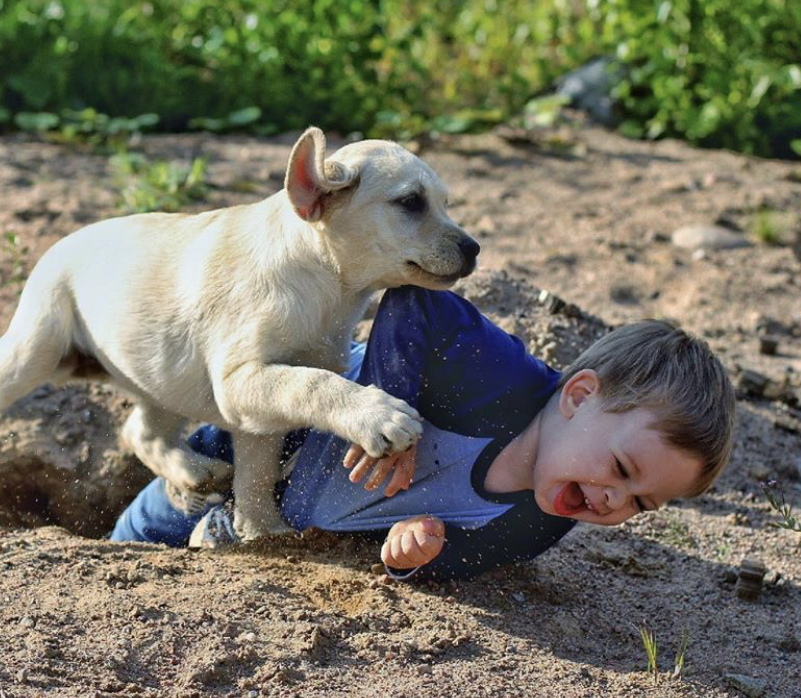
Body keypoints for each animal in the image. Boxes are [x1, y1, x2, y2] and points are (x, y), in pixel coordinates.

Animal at [0, 126, 478, 540]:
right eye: (411, 202)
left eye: (445, 202)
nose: (474, 248)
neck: (327, 286)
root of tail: (63, 242)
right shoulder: (241, 379)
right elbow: (313, 384)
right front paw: (378, 415)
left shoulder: (255, 407)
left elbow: (258, 469)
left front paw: (262, 530)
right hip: (36, 347)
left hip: (160, 377)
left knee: (141, 431)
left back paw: (195, 472)